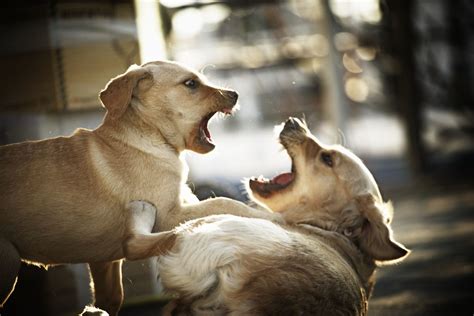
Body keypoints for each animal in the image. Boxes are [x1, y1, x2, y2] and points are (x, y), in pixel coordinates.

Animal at [122, 117, 408, 314]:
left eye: (327, 158)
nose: (293, 121)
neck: (324, 227)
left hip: (201, 227)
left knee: (135, 242)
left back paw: (142, 210)